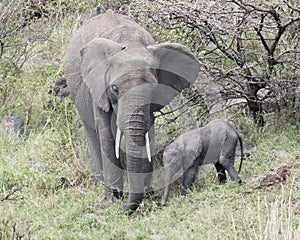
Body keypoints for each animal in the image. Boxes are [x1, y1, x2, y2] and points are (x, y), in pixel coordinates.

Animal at [63, 9, 199, 212]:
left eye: (154, 88)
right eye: (114, 88)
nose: (124, 207)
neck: (130, 42)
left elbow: (147, 132)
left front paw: (147, 193)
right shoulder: (98, 87)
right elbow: (106, 135)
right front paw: (112, 201)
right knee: (92, 132)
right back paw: (98, 179)